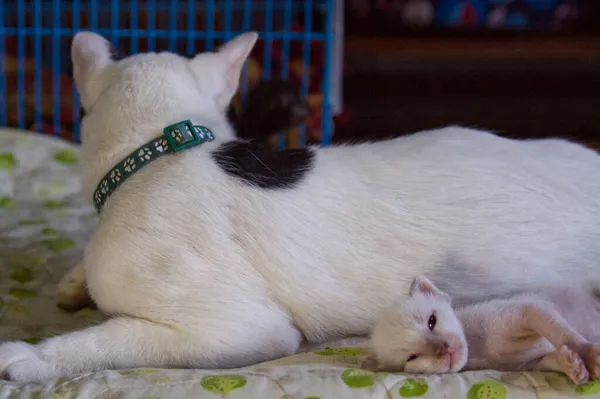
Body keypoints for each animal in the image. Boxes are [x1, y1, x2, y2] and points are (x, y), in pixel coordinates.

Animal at [366, 276, 600, 386]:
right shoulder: (531, 364)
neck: (478, 346)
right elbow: (551, 359)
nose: (443, 348)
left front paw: (588, 353)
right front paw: (573, 366)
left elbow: (564, 334)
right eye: (412, 358)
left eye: (431, 321)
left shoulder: (529, 309)